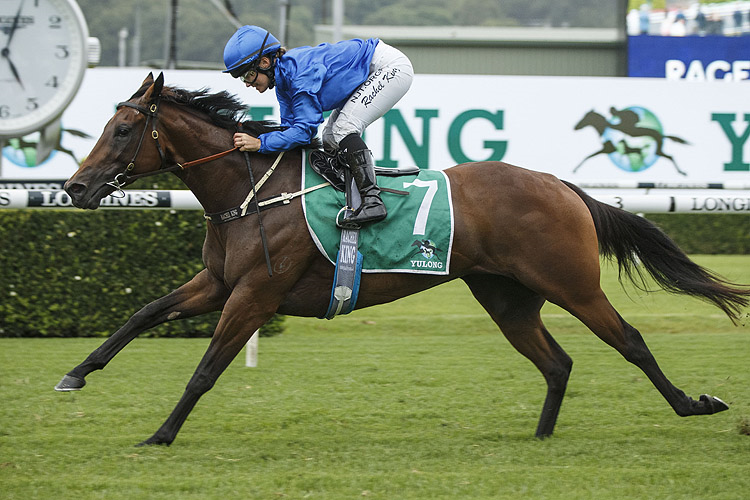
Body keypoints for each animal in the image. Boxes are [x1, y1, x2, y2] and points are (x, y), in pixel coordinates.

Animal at [55, 73, 748, 446]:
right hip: (506, 296)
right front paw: (76, 374)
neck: (249, 191)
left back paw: (694, 405)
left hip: (573, 284)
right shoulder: (218, 282)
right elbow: (143, 313)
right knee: (557, 362)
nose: (74, 187)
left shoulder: (254, 295)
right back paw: (541, 436)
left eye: (123, 130)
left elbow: (204, 371)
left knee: (629, 341)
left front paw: (161, 433)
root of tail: (559, 185)